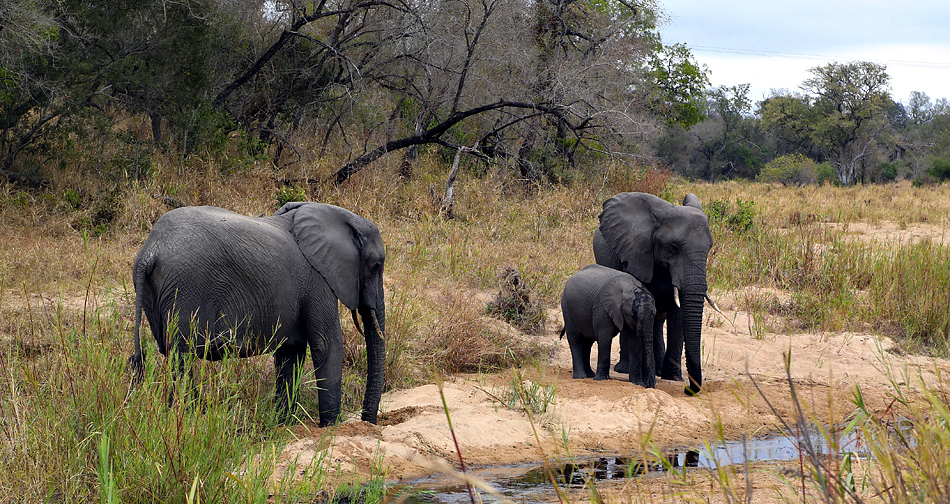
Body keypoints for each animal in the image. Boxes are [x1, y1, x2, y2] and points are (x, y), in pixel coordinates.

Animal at [128, 201, 388, 426]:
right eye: (376, 265)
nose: (368, 422)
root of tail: (150, 250)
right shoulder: (318, 280)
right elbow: (327, 344)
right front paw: (331, 428)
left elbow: (290, 354)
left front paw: (284, 425)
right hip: (185, 289)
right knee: (182, 358)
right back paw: (185, 418)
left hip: (159, 293)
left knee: (173, 356)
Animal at [592, 192, 716, 394]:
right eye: (673, 247)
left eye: (709, 248)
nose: (687, 390)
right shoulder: (636, 255)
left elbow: (677, 313)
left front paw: (673, 377)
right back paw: (624, 368)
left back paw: (657, 370)